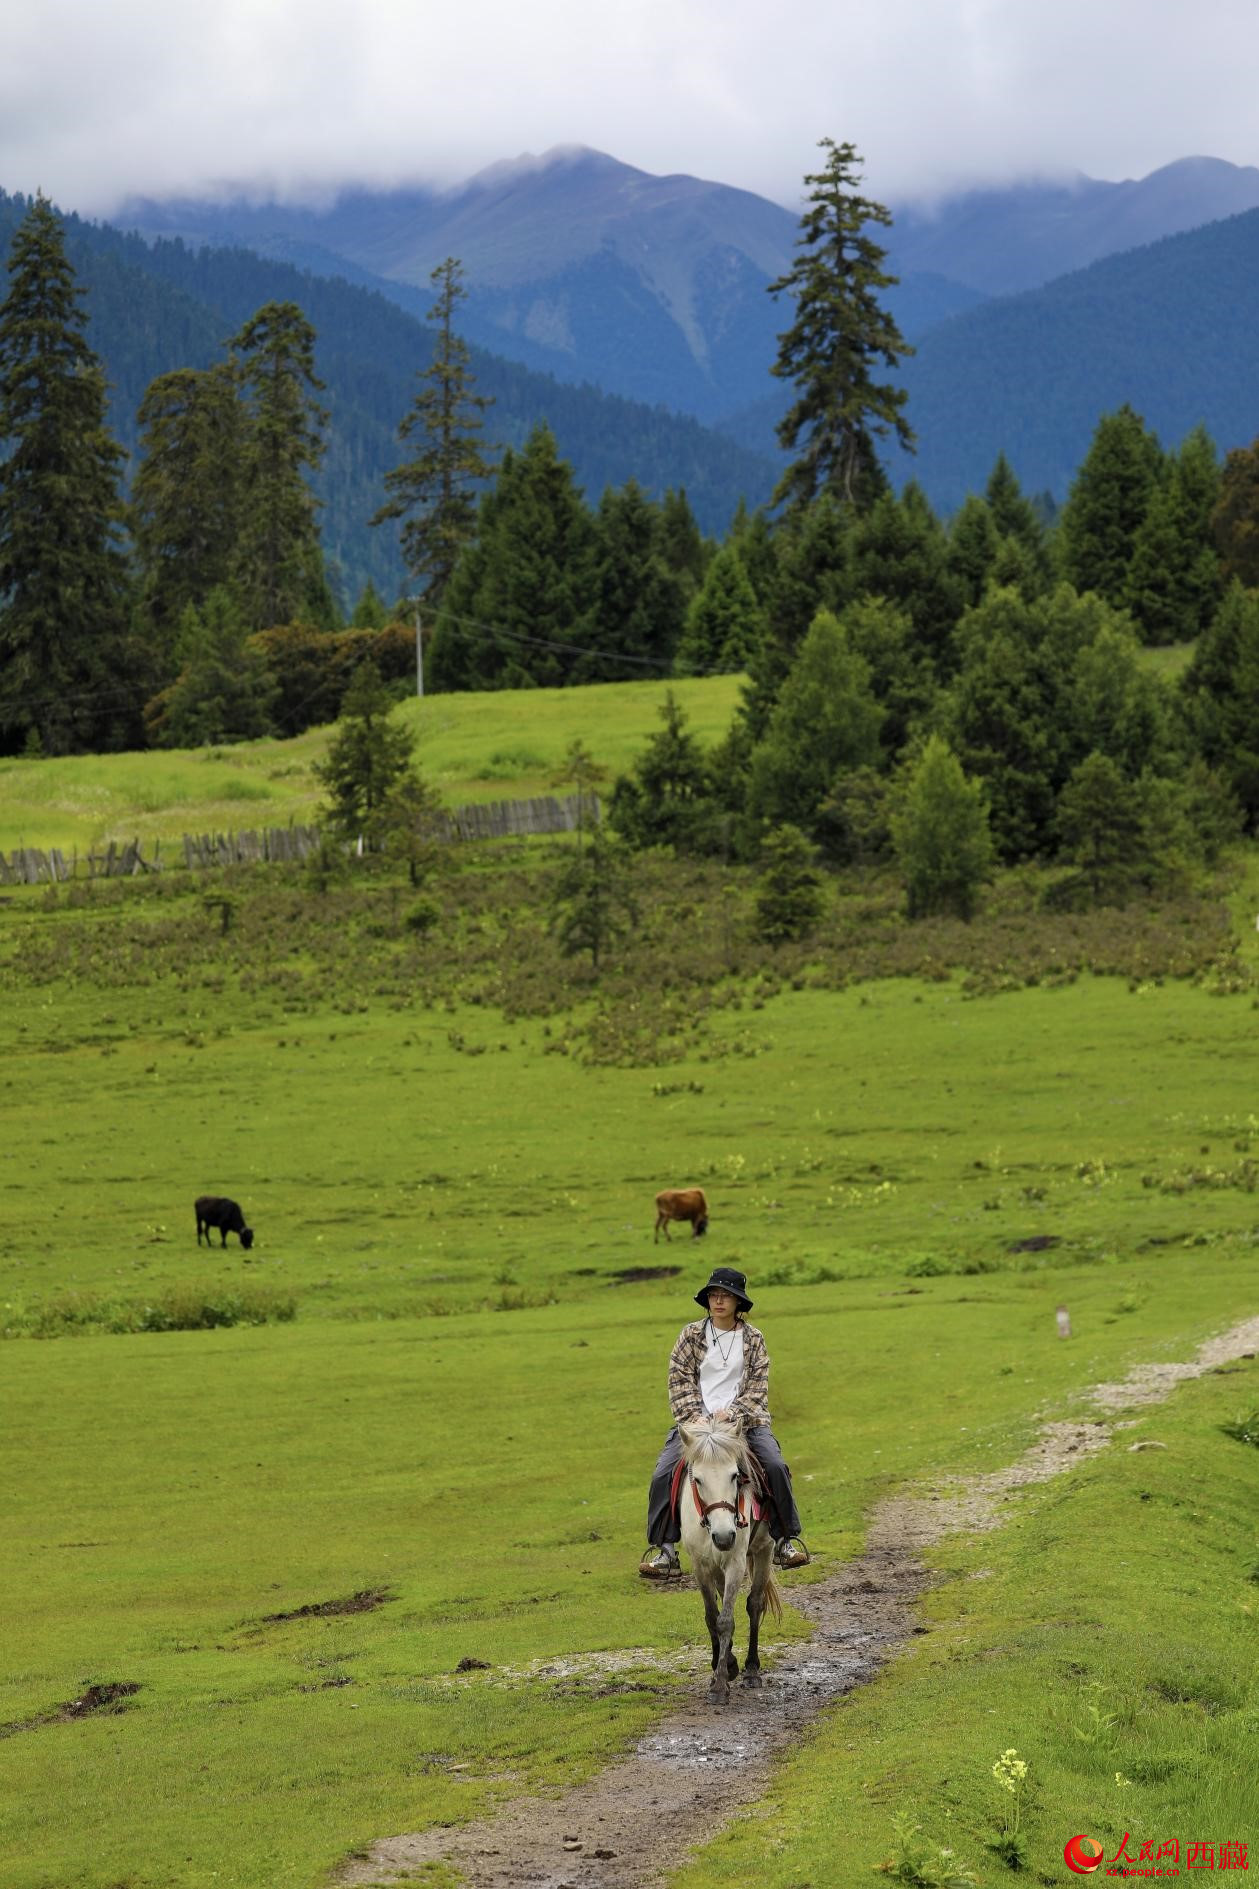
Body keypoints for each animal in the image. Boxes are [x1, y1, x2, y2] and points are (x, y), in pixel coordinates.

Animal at [676, 1420, 775, 1715]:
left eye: (735, 1476)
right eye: (697, 1479)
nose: (723, 1536)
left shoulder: (735, 1563)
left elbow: (726, 1620)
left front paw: (719, 1686)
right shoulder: (701, 1566)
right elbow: (712, 1617)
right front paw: (724, 1667)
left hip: (764, 1550)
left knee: (755, 1603)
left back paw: (752, 1670)